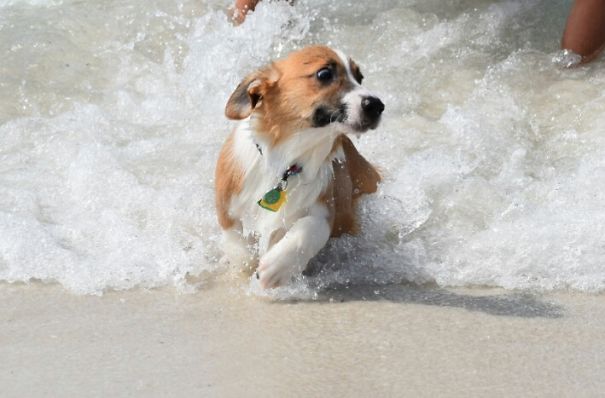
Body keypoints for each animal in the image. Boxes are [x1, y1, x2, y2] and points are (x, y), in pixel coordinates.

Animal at [215, 45, 382, 290]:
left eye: (360, 77)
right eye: (324, 74)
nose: (377, 105)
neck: (285, 164)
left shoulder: (325, 204)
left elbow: (311, 228)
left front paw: (276, 267)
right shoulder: (227, 208)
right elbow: (237, 246)